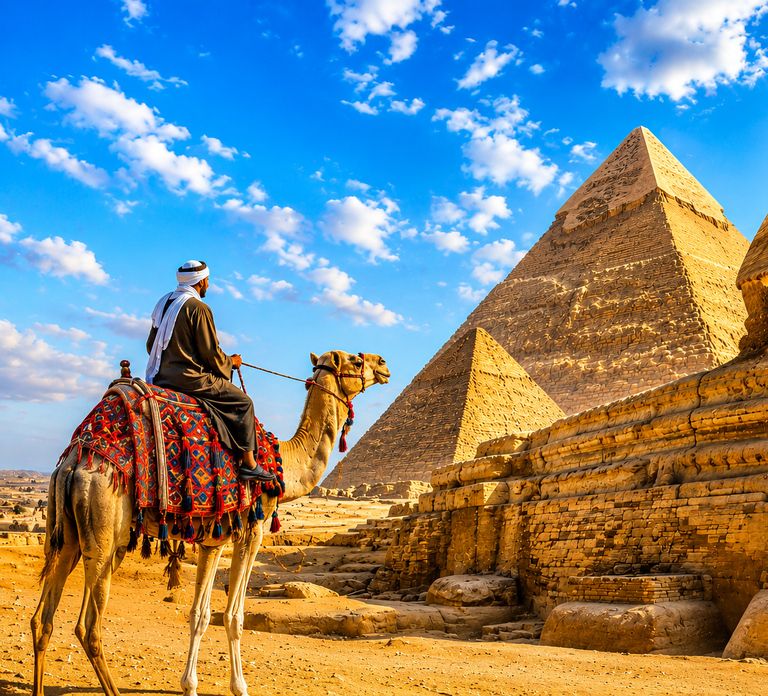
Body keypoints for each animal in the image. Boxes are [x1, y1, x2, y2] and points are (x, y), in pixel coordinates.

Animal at [31, 349, 390, 696]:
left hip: (72, 537)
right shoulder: (251, 532)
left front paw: (189, 685)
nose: (384, 364)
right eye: (356, 360)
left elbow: (199, 615)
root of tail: (75, 461)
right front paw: (240, 687)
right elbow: (234, 617)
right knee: (89, 627)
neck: (282, 465)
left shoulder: (212, 542)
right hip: (104, 526)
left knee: (43, 621)